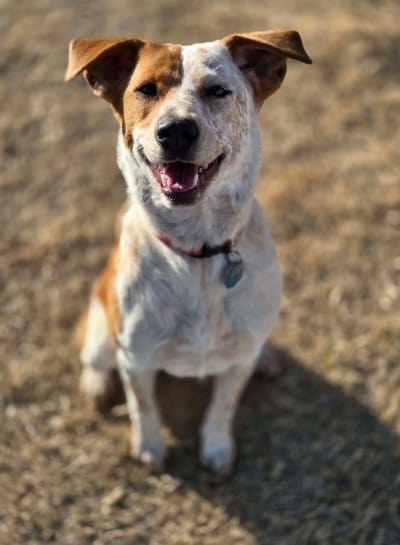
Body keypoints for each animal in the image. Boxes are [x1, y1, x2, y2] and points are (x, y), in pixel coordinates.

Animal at [66, 30, 311, 475]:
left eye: (218, 91)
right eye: (146, 89)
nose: (176, 131)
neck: (197, 250)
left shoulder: (236, 362)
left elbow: (223, 405)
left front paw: (216, 447)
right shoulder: (137, 359)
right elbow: (143, 408)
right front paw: (150, 448)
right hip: (101, 330)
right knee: (95, 357)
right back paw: (95, 384)